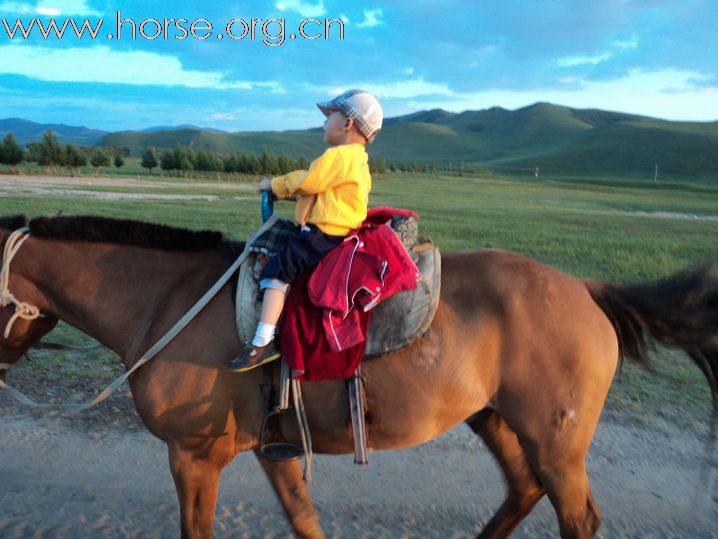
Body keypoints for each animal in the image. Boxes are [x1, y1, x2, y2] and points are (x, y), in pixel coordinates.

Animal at [0, 215, 716, 539]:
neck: (168, 300)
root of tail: (587, 290)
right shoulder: (275, 447)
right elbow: (303, 518)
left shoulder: (193, 457)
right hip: (493, 417)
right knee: (522, 489)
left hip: (557, 440)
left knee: (576, 513)